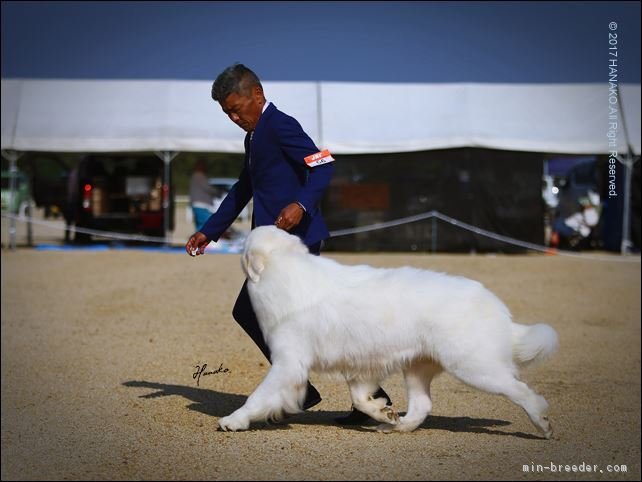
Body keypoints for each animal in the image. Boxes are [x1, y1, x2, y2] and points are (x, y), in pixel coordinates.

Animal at [218, 226, 556, 436]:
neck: (287, 271)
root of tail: (496, 306)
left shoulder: (288, 363)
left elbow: (259, 397)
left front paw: (233, 421)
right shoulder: (358, 367)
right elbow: (360, 399)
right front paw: (382, 412)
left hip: (474, 368)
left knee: (521, 391)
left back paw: (542, 423)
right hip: (418, 368)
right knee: (422, 406)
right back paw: (394, 427)